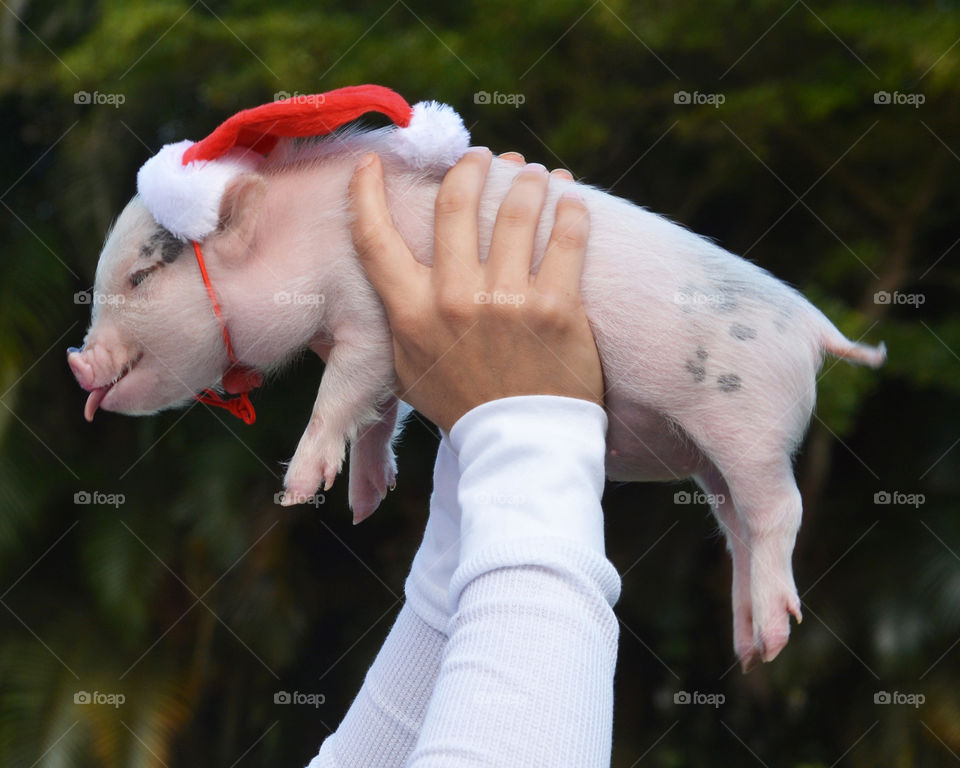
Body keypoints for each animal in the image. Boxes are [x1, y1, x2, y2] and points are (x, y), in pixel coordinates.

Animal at [67, 126, 885, 672]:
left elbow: (340, 395)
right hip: (714, 459)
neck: (308, 235)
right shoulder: (386, 357)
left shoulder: (369, 320)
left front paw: (300, 490)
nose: (78, 362)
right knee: (739, 529)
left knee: (780, 510)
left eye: (141, 277)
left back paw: (773, 636)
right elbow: (380, 416)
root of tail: (814, 329)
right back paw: (749, 648)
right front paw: (365, 504)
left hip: (749, 425)